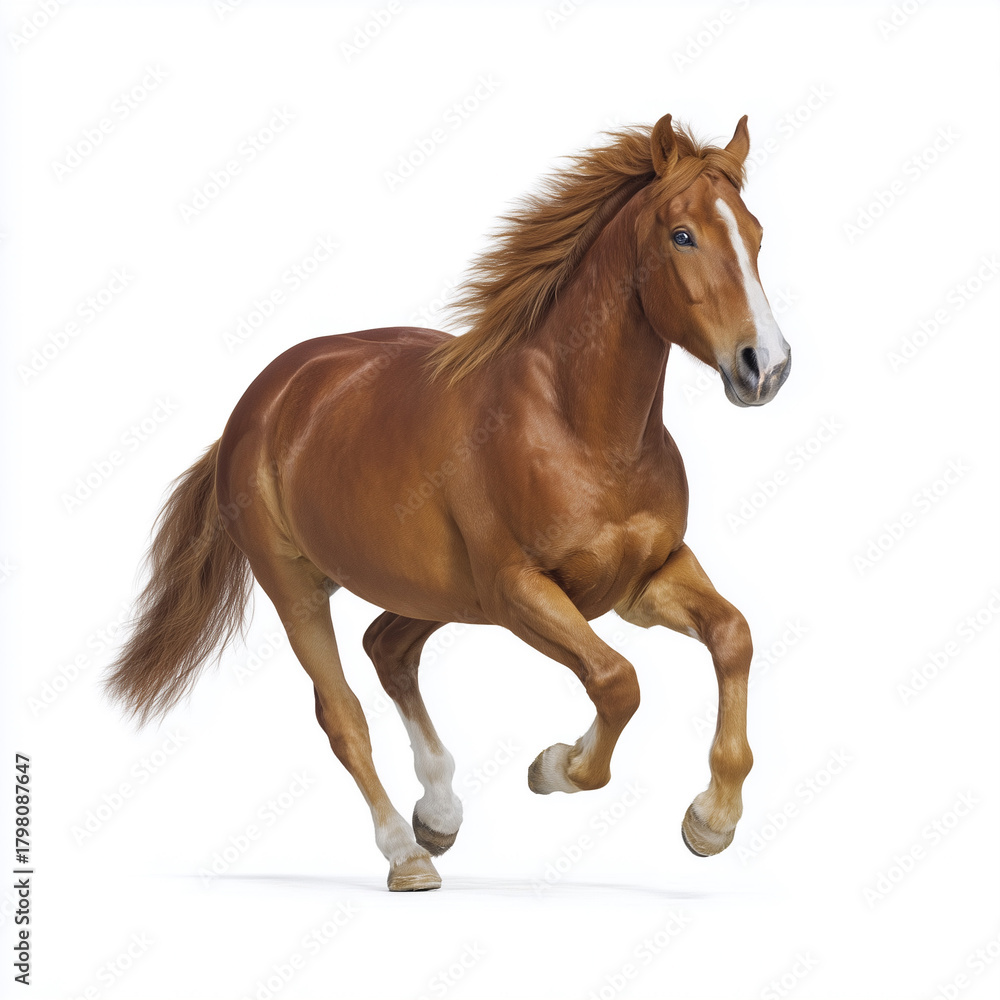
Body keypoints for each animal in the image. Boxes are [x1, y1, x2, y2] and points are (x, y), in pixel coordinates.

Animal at [106, 114, 791, 891]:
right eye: (683, 235)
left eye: (756, 232)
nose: (765, 368)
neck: (582, 429)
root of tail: (261, 401)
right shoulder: (520, 591)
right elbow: (617, 681)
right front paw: (557, 766)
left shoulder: (643, 580)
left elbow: (732, 636)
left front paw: (711, 821)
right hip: (298, 586)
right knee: (342, 714)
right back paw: (406, 854)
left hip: (434, 590)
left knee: (387, 648)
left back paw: (438, 812)